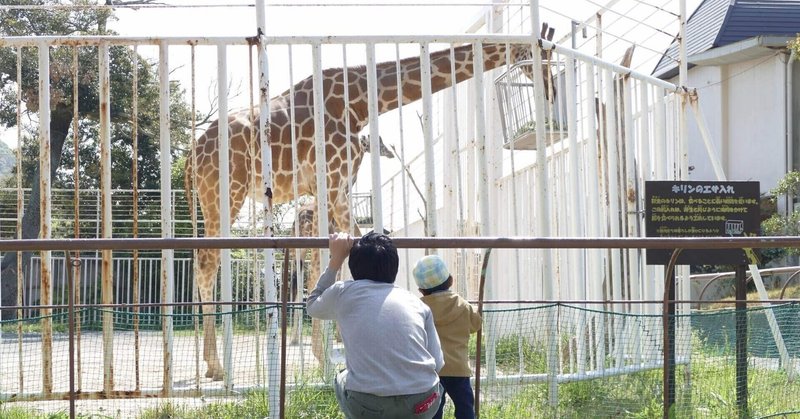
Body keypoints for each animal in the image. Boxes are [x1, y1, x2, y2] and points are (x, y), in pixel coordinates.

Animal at [185, 39, 544, 380]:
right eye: (540, 55)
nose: (548, 88)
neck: (357, 102)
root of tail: (191, 157)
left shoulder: (332, 188)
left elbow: (338, 254)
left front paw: (331, 350)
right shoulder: (333, 182)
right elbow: (333, 257)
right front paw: (328, 356)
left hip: (211, 198)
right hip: (226, 192)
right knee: (207, 263)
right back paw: (217, 367)